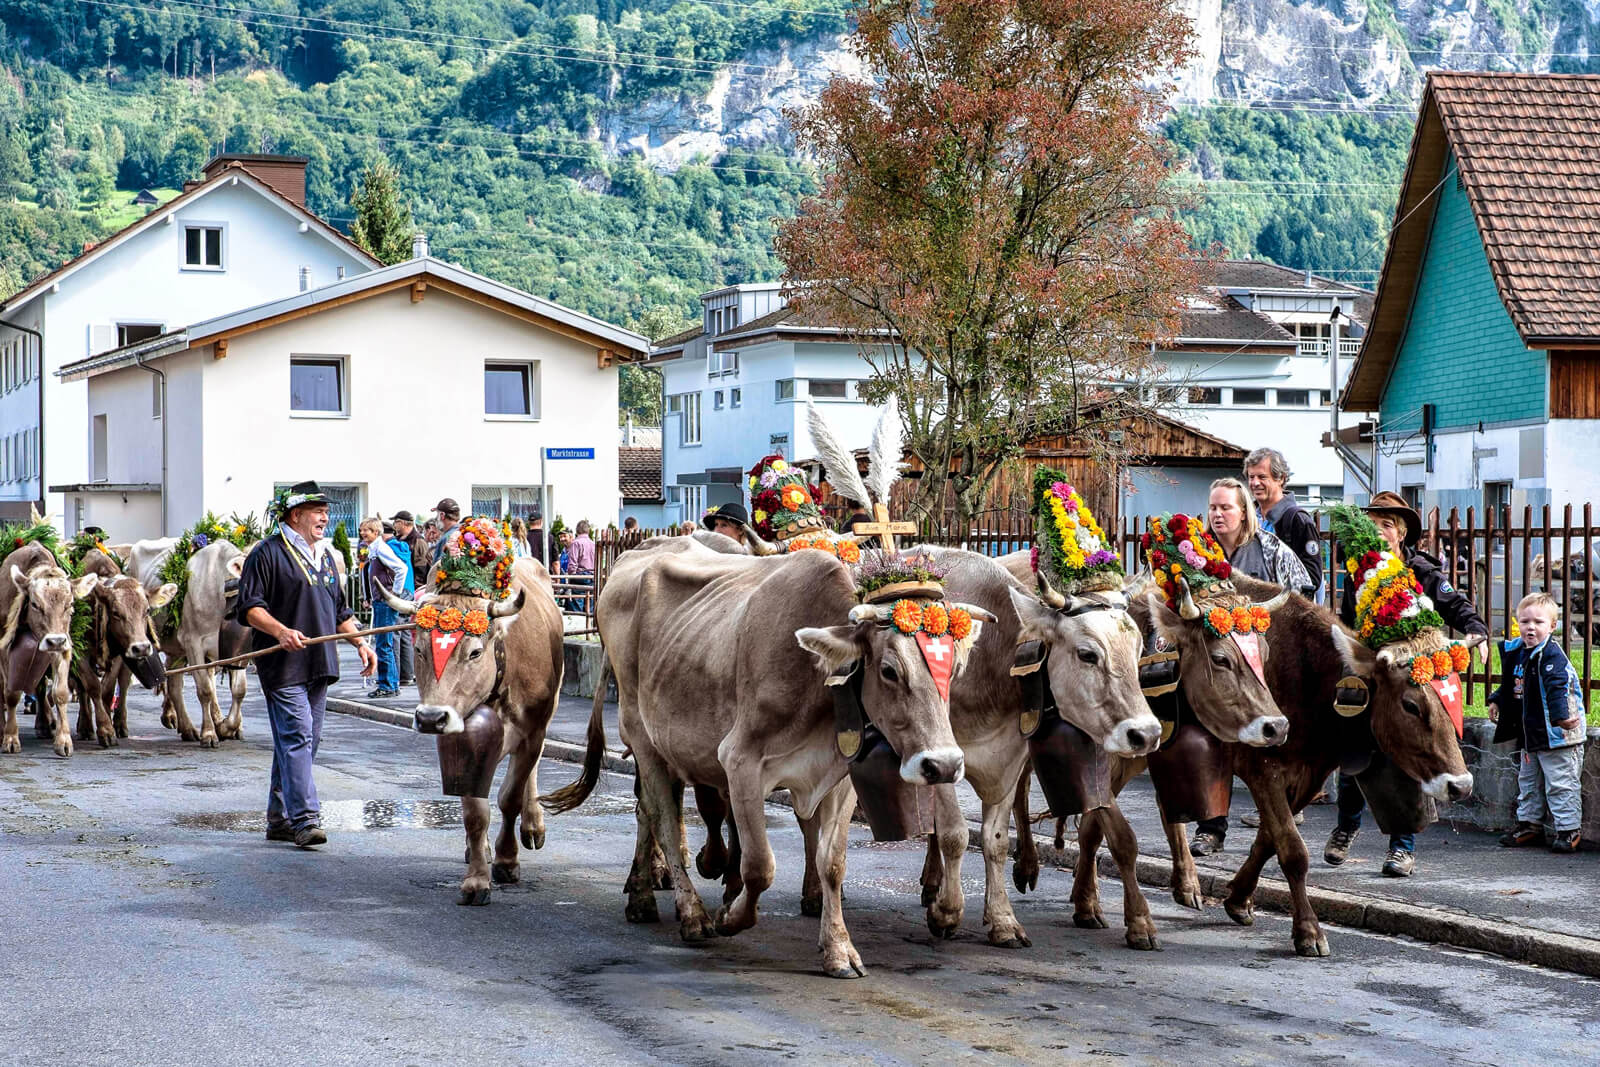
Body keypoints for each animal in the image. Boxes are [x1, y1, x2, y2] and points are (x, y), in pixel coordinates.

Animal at [0, 543, 99, 758]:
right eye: (35, 604)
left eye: (70, 604)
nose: (54, 641)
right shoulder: (4, 647)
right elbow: (11, 694)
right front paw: (10, 738)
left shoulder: (62, 645)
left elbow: (60, 692)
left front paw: (64, 741)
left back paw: (45, 725)